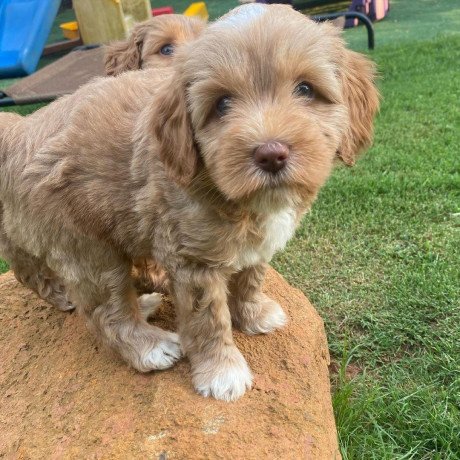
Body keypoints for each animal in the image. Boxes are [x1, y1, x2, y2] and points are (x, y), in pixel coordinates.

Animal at [0, 2, 380, 398]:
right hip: (87, 245)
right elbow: (207, 319)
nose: (271, 154)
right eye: (222, 104)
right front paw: (222, 372)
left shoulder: (252, 246)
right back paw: (147, 344)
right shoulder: (192, 260)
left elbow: (252, 276)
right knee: (103, 309)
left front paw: (253, 314)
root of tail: (19, 131)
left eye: (305, 89)